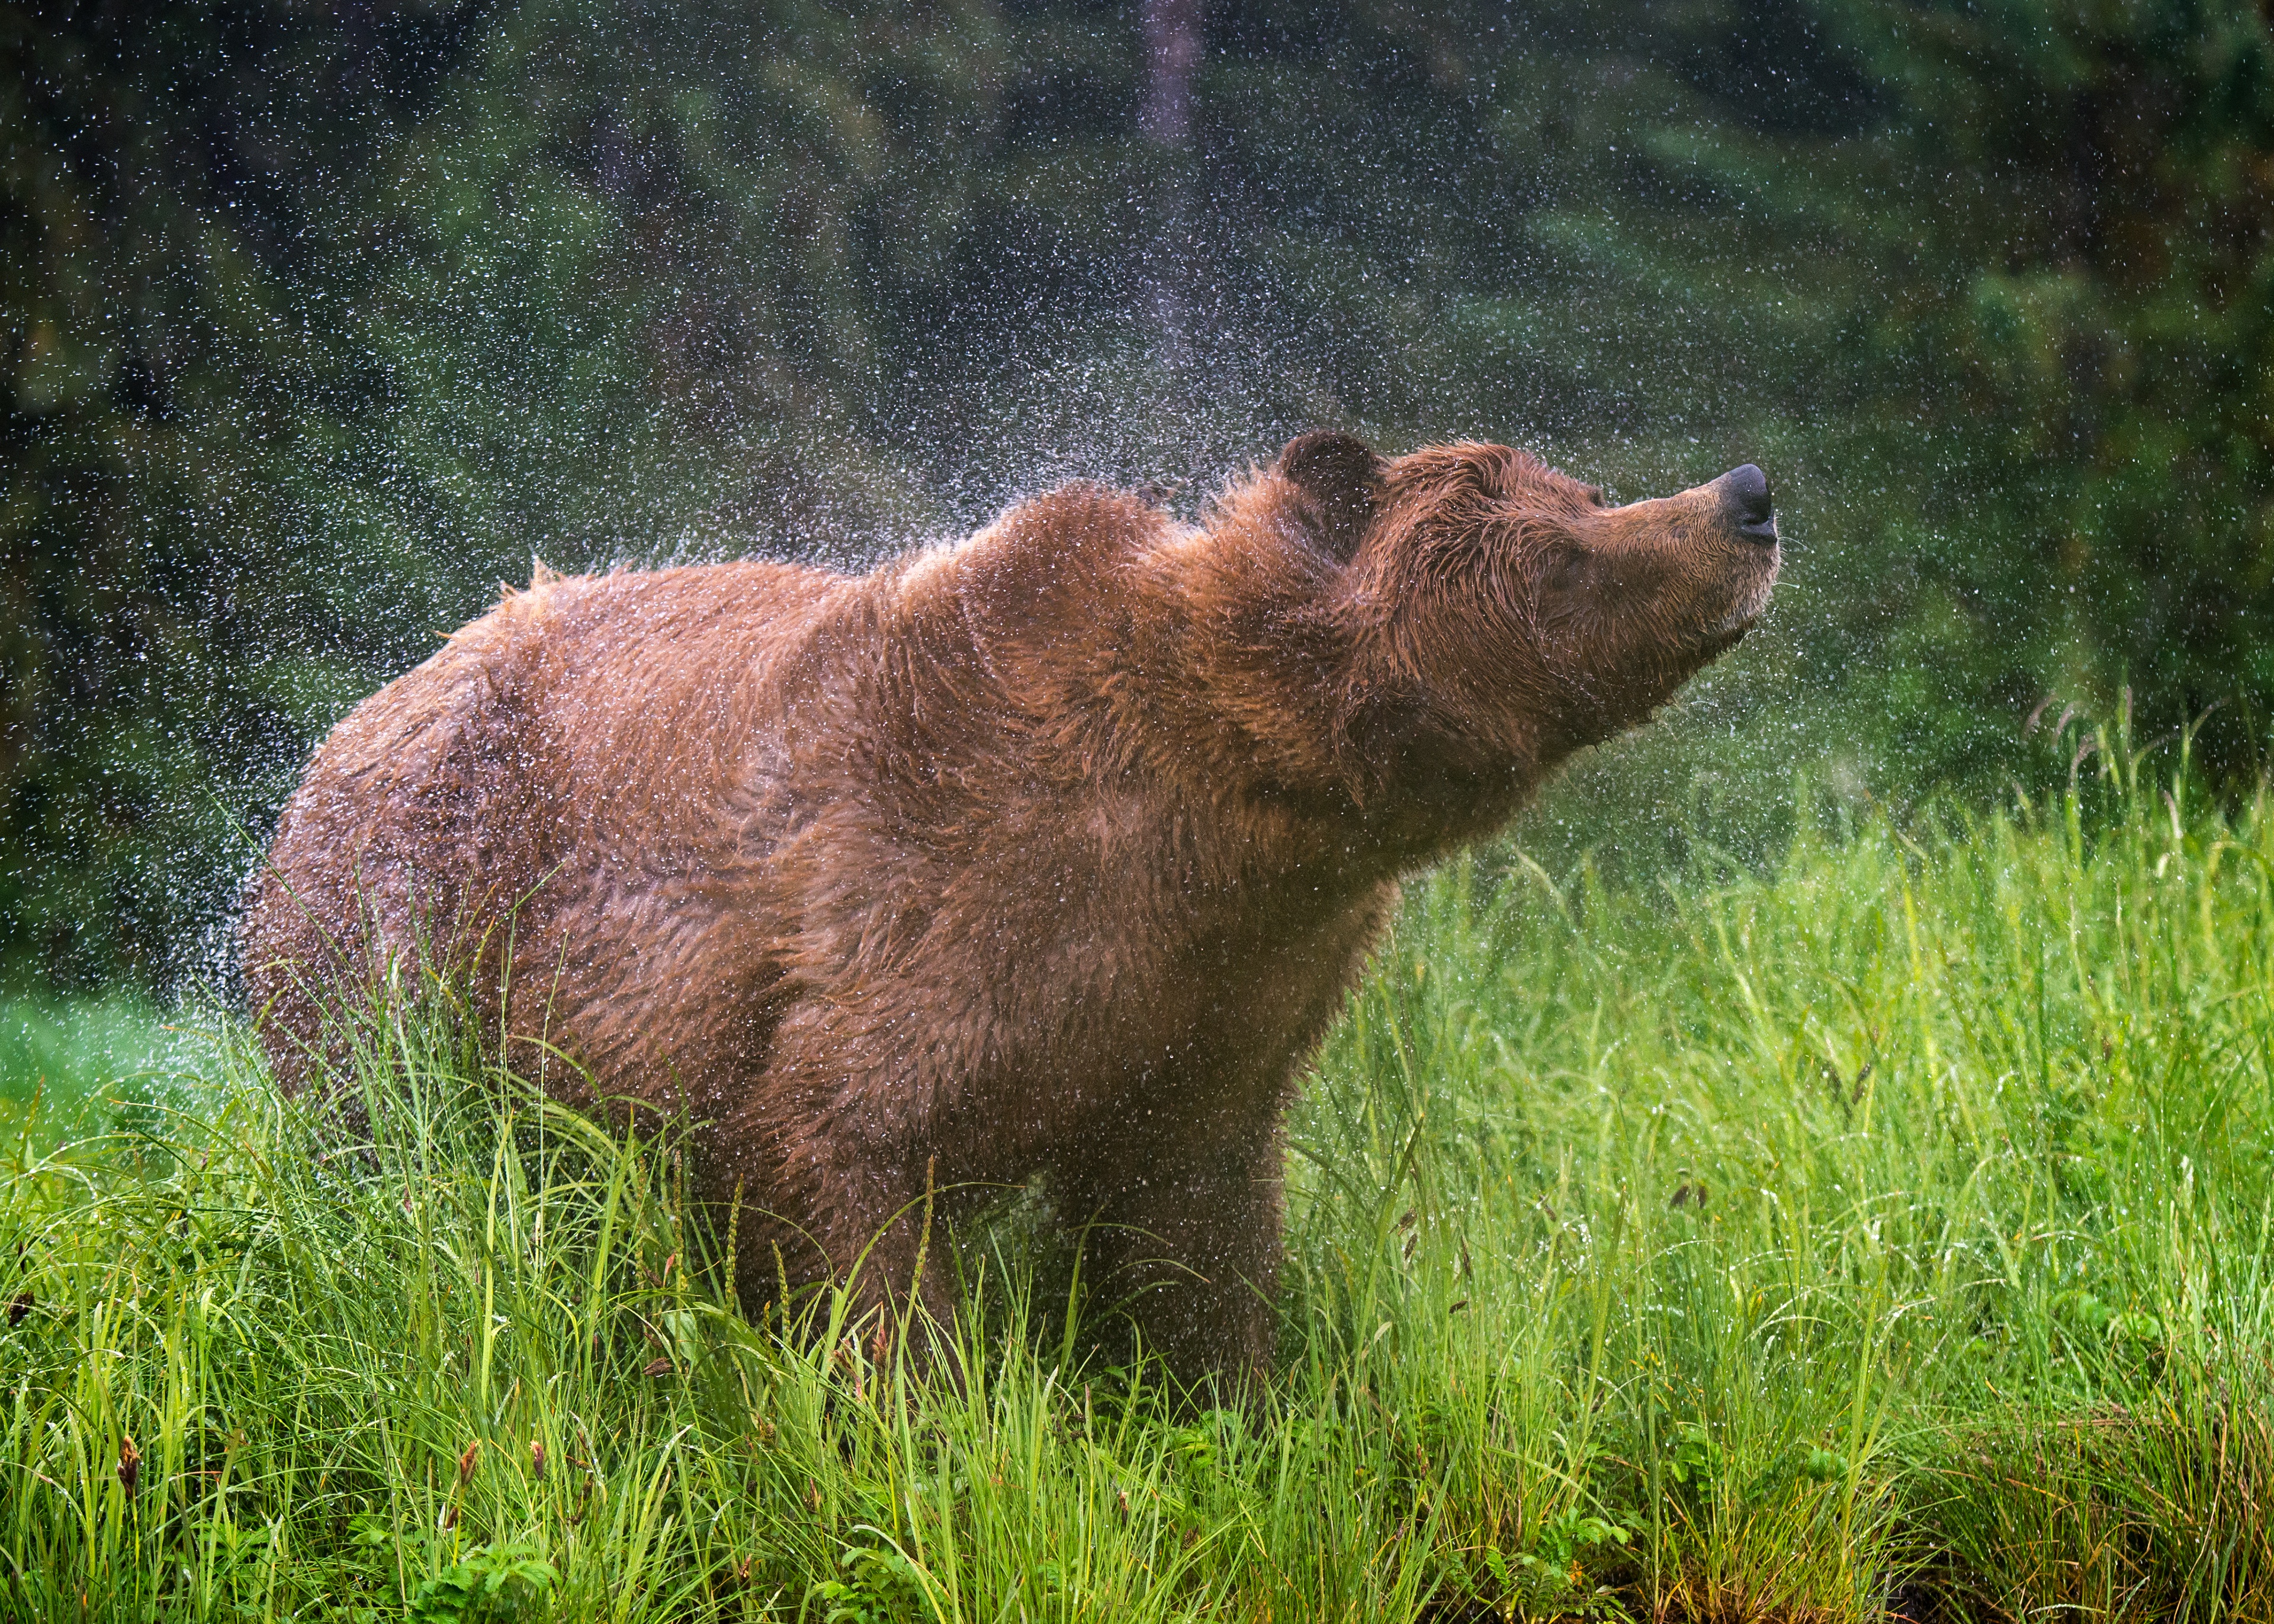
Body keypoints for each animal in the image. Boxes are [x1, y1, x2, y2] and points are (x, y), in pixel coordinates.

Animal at [244, 430, 1774, 1382]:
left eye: (1580, 486)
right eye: (1559, 548)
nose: (1744, 494)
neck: (1239, 803)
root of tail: (336, 735)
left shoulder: (1221, 993)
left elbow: (1193, 1223)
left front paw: (1232, 1400)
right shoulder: (946, 892)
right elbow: (841, 1151)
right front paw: (921, 1415)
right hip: (401, 925)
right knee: (398, 1150)